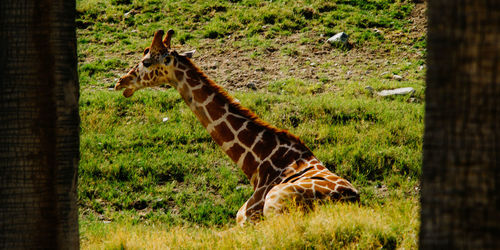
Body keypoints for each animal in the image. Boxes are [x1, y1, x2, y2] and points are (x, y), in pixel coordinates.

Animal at [115, 28, 360, 225]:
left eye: (146, 62)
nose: (120, 82)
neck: (258, 163)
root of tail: (350, 200)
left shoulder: (249, 218)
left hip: (276, 206)